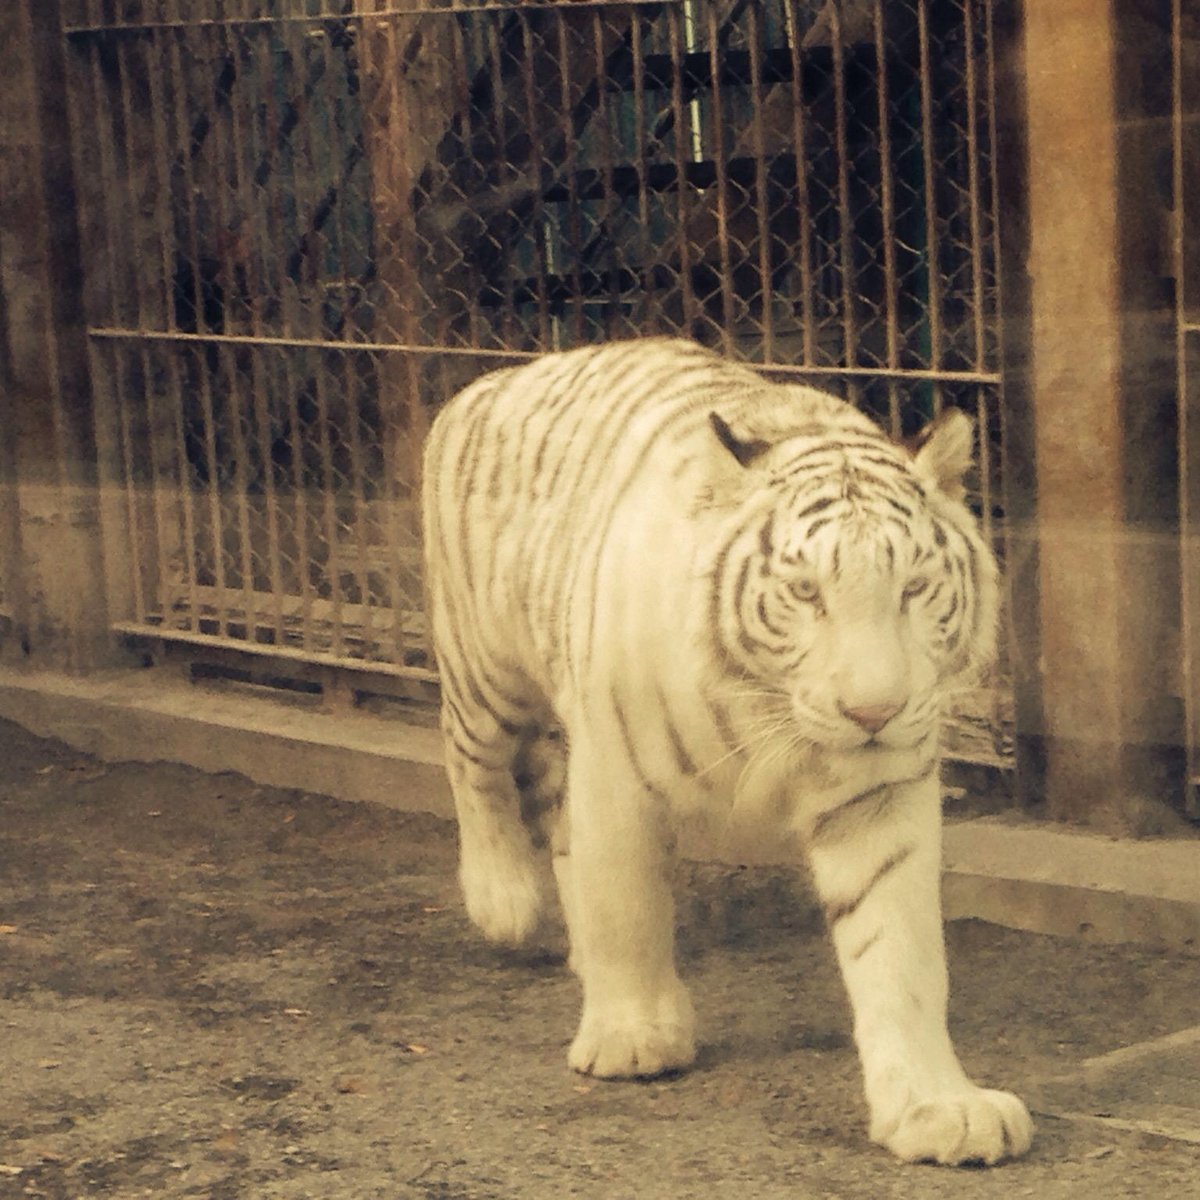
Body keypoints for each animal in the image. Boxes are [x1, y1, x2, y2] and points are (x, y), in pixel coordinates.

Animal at [420, 336, 1032, 1161]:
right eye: (806, 593)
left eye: (913, 589)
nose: (874, 710)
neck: (771, 716)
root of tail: (497, 377)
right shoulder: (616, 771)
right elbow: (626, 903)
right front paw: (634, 1035)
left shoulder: (880, 793)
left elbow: (900, 954)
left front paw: (937, 1107)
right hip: (486, 668)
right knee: (470, 758)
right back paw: (504, 900)